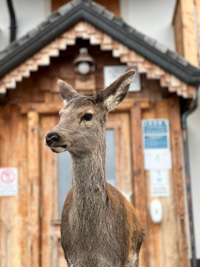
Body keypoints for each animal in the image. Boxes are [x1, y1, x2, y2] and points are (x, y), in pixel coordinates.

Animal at [45, 69, 144, 267]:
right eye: (60, 114)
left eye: (87, 115)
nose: (51, 136)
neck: (92, 249)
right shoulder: (72, 259)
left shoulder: (118, 258)